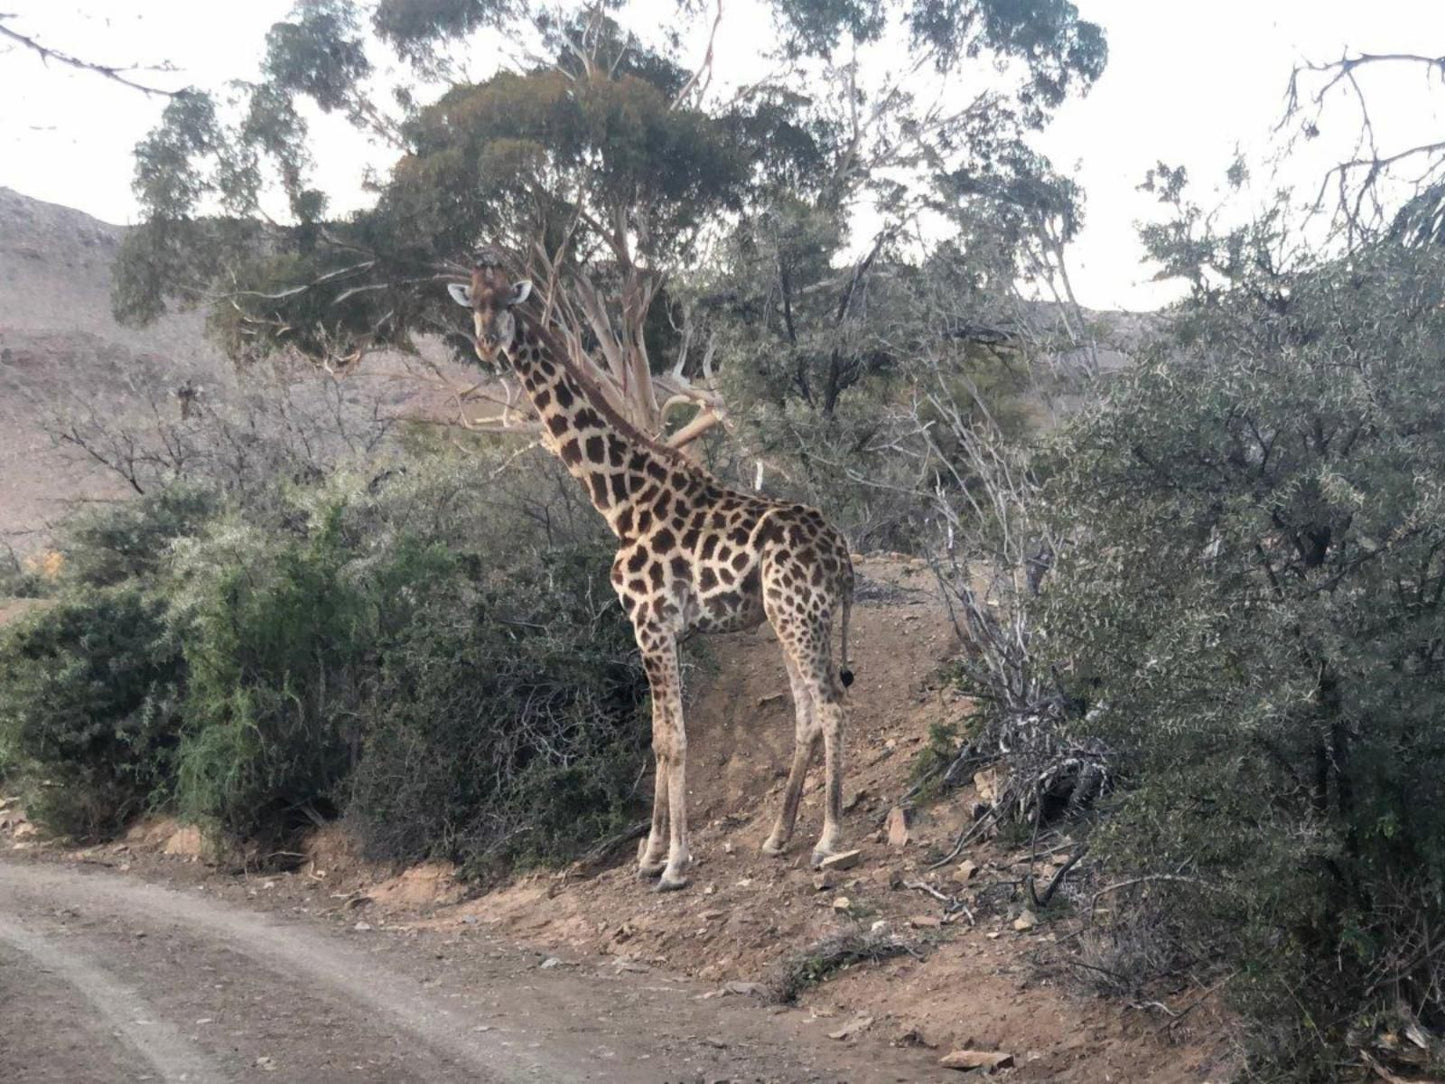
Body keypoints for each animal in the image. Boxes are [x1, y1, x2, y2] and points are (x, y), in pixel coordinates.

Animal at [450, 252, 849, 890]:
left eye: (508, 302)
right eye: (475, 306)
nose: (489, 343)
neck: (620, 503)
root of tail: (842, 552)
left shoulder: (651, 623)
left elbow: (674, 741)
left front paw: (676, 863)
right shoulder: (661, 630)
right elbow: (659, 737)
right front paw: (651, 854)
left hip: (798, 616)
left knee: (831, 706)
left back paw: (828, 838)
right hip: (795, 618)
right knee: (808, 712)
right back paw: (778, 836)